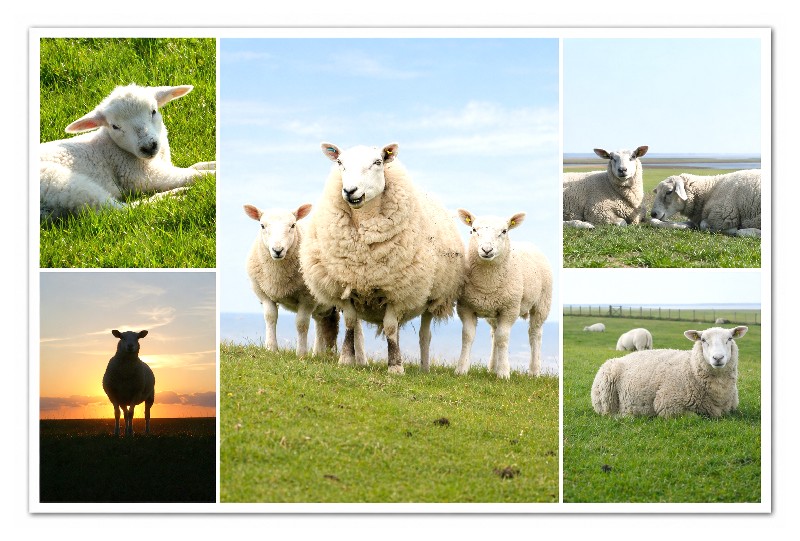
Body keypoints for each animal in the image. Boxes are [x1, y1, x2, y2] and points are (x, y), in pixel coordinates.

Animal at [40, 84, 216, 220]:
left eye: (153, 111)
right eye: (115, 126)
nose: (148, 146)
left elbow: (194, 167)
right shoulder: (138, 175)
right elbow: (192, 175)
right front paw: (211, 175)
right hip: (60, 183)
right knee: (119, 211)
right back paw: (170, 197)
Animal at [244, 202, 355, 360]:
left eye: (292, 225)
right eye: (262, 226)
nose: (277, 250)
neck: (277, 276)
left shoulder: (307, 298)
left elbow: (301, 324)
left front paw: (301, 353)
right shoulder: (264, 294)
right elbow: (270, 317)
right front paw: (271, 348)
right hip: (323, 305)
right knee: (322, 322)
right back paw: (318, 353)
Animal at [299, 142, 465, 374]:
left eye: (378, 162)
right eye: (340, 162)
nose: (350, 191)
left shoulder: (396, 290)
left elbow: (390, 327)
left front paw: (395, 366)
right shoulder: (345, 285)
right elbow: (350, 322)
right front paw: (346, 359)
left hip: (431, 297)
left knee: (425, 334)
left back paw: (424, 368)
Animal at [453, 210, 552, 378]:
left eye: (504, 231)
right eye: (473, 230)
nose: (487, 250)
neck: (487, 283)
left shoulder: (509, 309)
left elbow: (503, 338)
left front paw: (504, 373)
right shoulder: (465, 307)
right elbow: (467, 336)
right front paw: (461, 369)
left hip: (542, 303)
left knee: (535, 334)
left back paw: (534, 371)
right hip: (493, 311)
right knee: (494, 334)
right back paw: (492, 367)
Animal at [591, 326, 748, 418]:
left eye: (730, 338)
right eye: (703, 340)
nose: (718, 358)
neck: (691, 368)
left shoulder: (730, 409)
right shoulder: (669, 407)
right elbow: (694, 416)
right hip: (606, 398)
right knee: (608, 413)